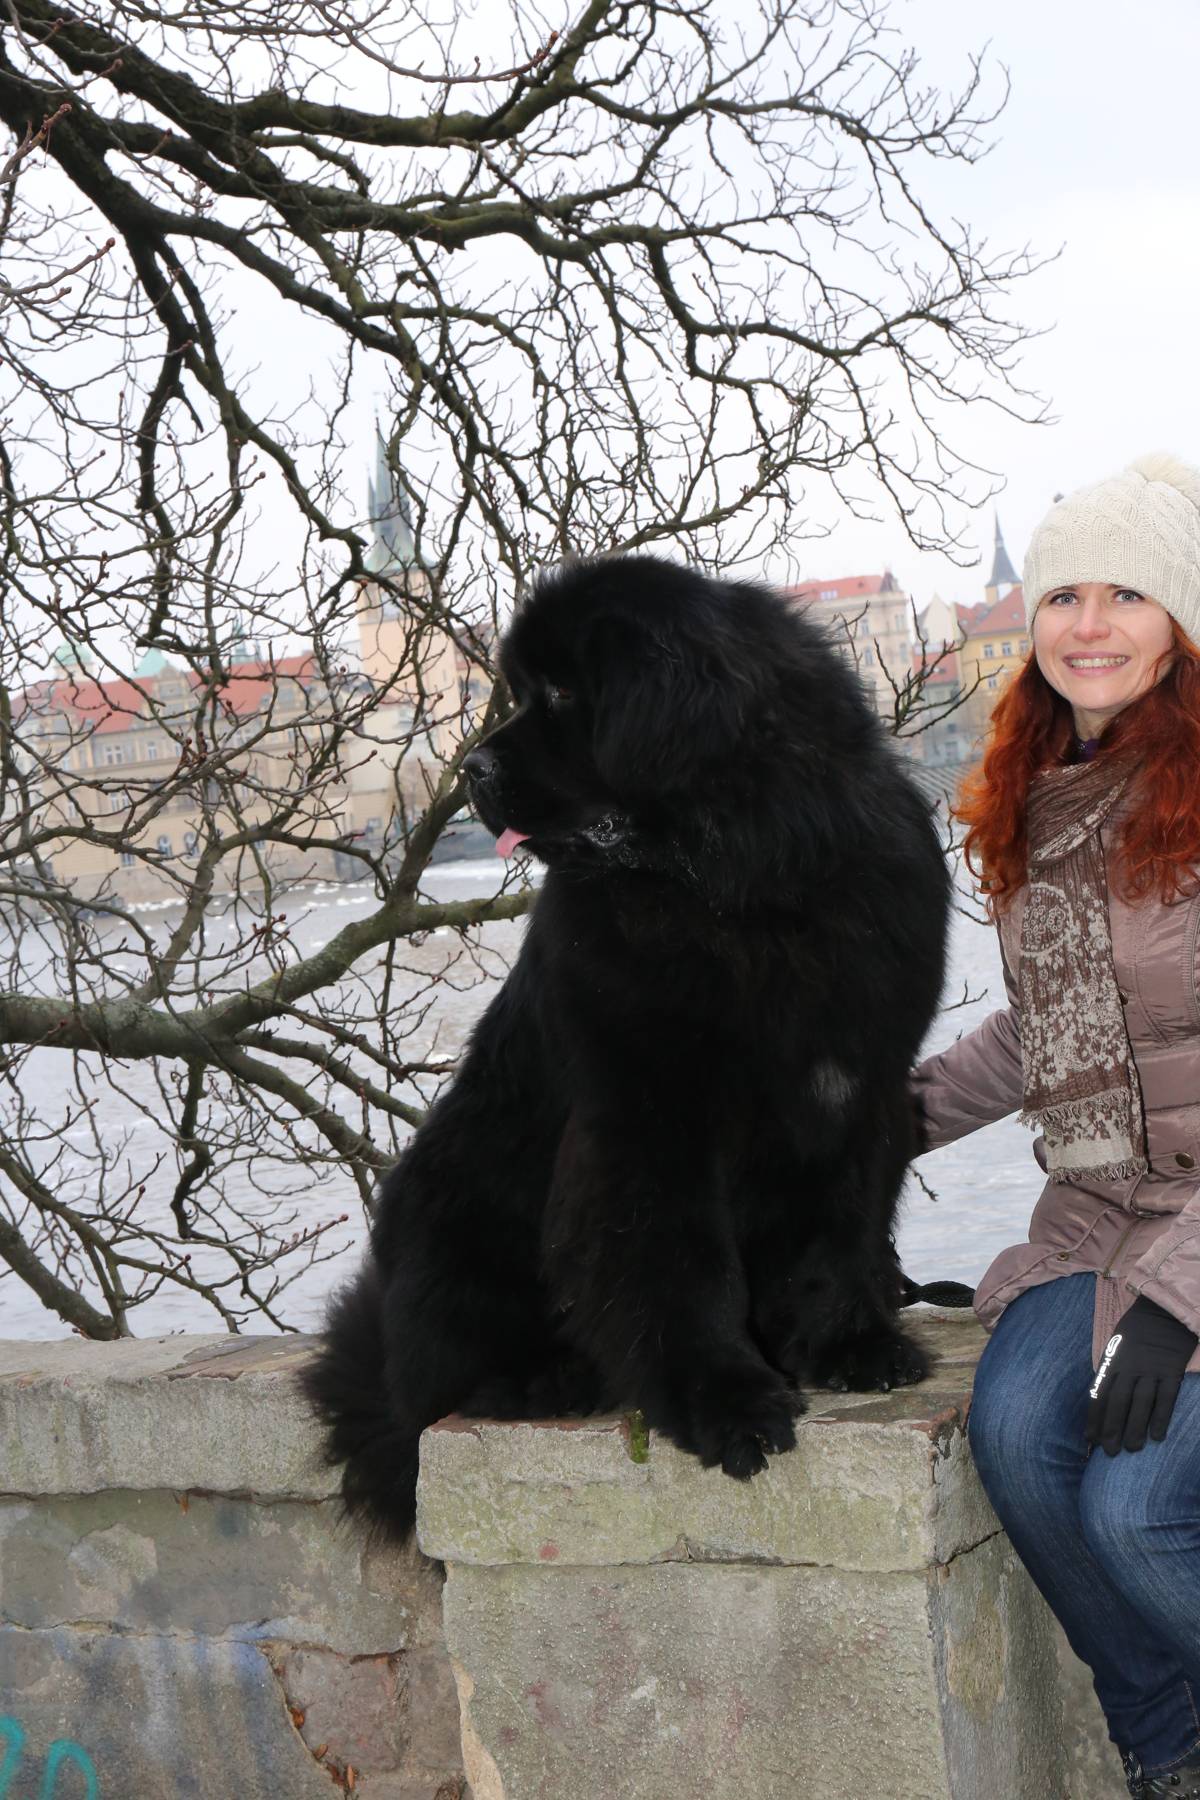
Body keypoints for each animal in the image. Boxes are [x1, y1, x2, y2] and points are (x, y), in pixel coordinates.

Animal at [303, 555, 949, 1539]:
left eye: (565, 692)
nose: (471, 764)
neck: (745, 887)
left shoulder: (860, 1085)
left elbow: (843, 1228)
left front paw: (854, 1343)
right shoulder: (647, 1117)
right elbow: (677, 1263)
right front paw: (728, 1404)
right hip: (453, 1211)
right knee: (439, 1380)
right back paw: (547, 1377)